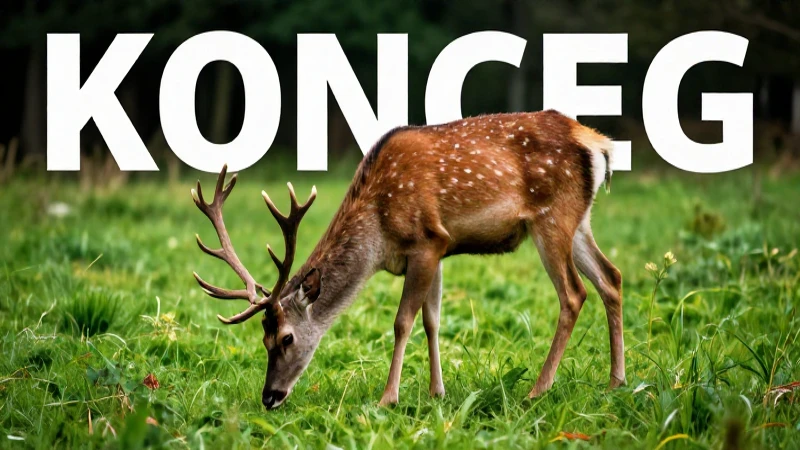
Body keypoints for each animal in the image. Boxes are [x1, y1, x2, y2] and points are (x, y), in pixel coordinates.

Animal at [190, 109, 625, 409]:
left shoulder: (427, 240)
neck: (378, 235)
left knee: (574, 293)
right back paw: (616, 382)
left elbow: (402, 321)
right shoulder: (439, 249)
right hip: (579, 220)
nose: (269, 397)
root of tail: (597, 143)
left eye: (286, 338)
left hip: (552, 217)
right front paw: (437, 392)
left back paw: (537, 390)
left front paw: (388, 398)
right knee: (612, 277)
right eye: (262, 339)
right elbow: (432, 320)